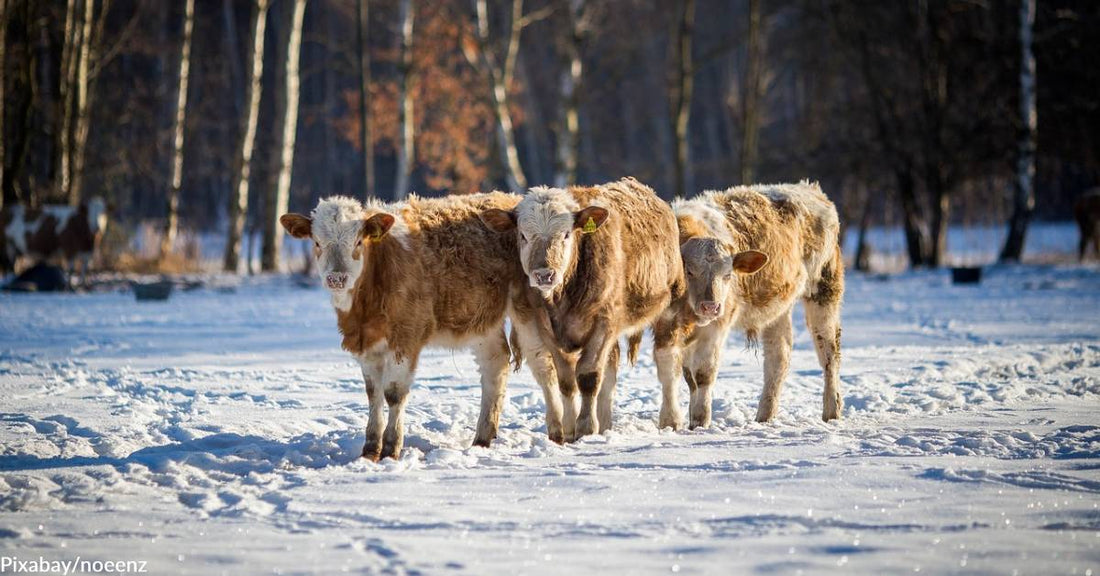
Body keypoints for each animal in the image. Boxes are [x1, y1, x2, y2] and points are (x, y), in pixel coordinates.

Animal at [280, 193, 547, 461]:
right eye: (317, 242)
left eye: (358, 242)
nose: (336, 278)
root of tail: (508, 198)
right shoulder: (367, 343)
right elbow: (373, 393)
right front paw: (370, 449)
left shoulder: (406, 337)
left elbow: (394, 393)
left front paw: (391, 448)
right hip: (483, 321)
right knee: (495, 363)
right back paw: (482, 438)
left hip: (528, 310)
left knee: (540, 361)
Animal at [480, 177, 685, 441]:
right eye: (523, 235)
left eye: (566, 234)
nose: (544, 274)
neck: (563, 298)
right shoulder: (546, 328)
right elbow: (567, 381)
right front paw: (569, 429)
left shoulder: (604, 322)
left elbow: (588, 377)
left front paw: (586, 428)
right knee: (611, 368)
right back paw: (606, 424)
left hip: (671, 305)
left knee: (667, 360)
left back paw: (671, 419)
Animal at [652, 181, 844, 430]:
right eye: (689, 271)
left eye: (727, 275)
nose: (711, 306)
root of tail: (811, 189)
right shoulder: (665, 323)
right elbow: (672, 371)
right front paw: (671, 421)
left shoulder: (717, 325)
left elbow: (704, 373)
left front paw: (701, 421)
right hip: (778, 309)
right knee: (778, 356)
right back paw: (765, 415)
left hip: (824, 289)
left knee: (829, 353)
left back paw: (832, 411)